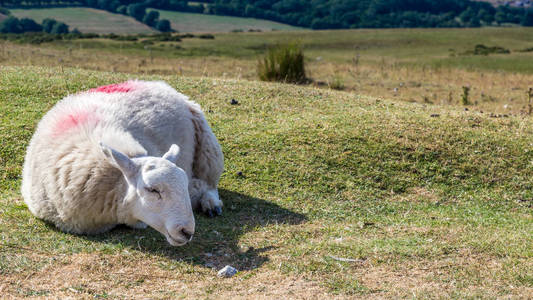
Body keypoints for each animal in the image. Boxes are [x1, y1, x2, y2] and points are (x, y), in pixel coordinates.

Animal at [20, 80, 223, 246]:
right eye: (152, 190)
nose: (187, 231)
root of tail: (160, 85)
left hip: (208, 146)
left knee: (209, 182)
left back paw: (210, 203)